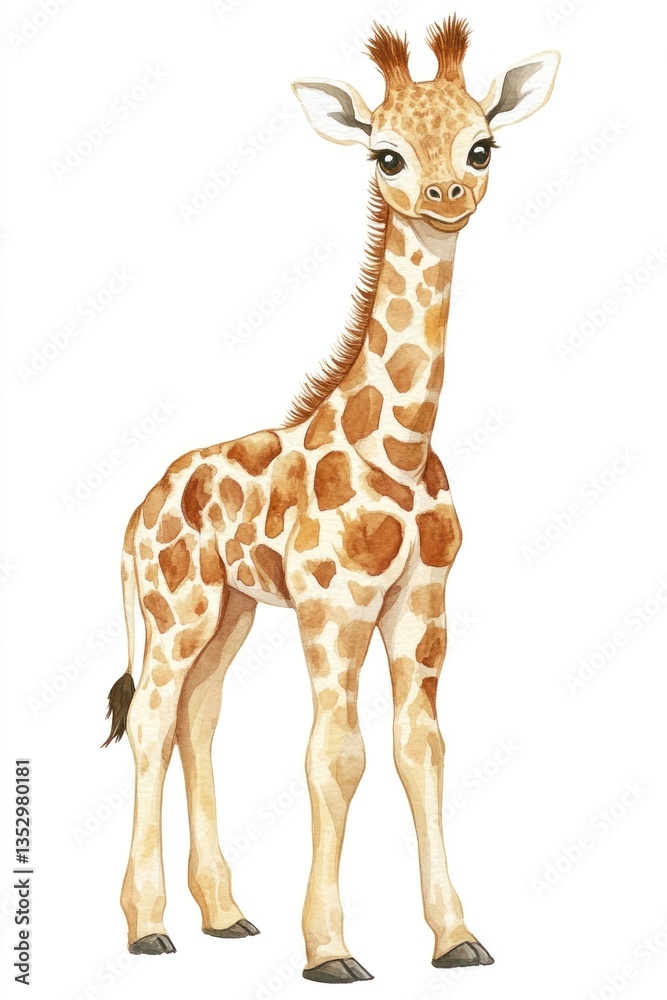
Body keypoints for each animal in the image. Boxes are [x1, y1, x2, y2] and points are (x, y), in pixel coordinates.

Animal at [104, 17, 559, 983]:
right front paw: (329, 951)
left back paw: (226, 915)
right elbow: (335, 756)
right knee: (154, 720)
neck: (401, 450)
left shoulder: (421, 602)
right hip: (175, 607)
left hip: (231, 608)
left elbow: (420, 749)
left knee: (198, 716)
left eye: (482, 143)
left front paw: (456, 938)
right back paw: (148, 927)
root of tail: (137, 512)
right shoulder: (334, 604)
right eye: (385, 154)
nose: (447, 194)